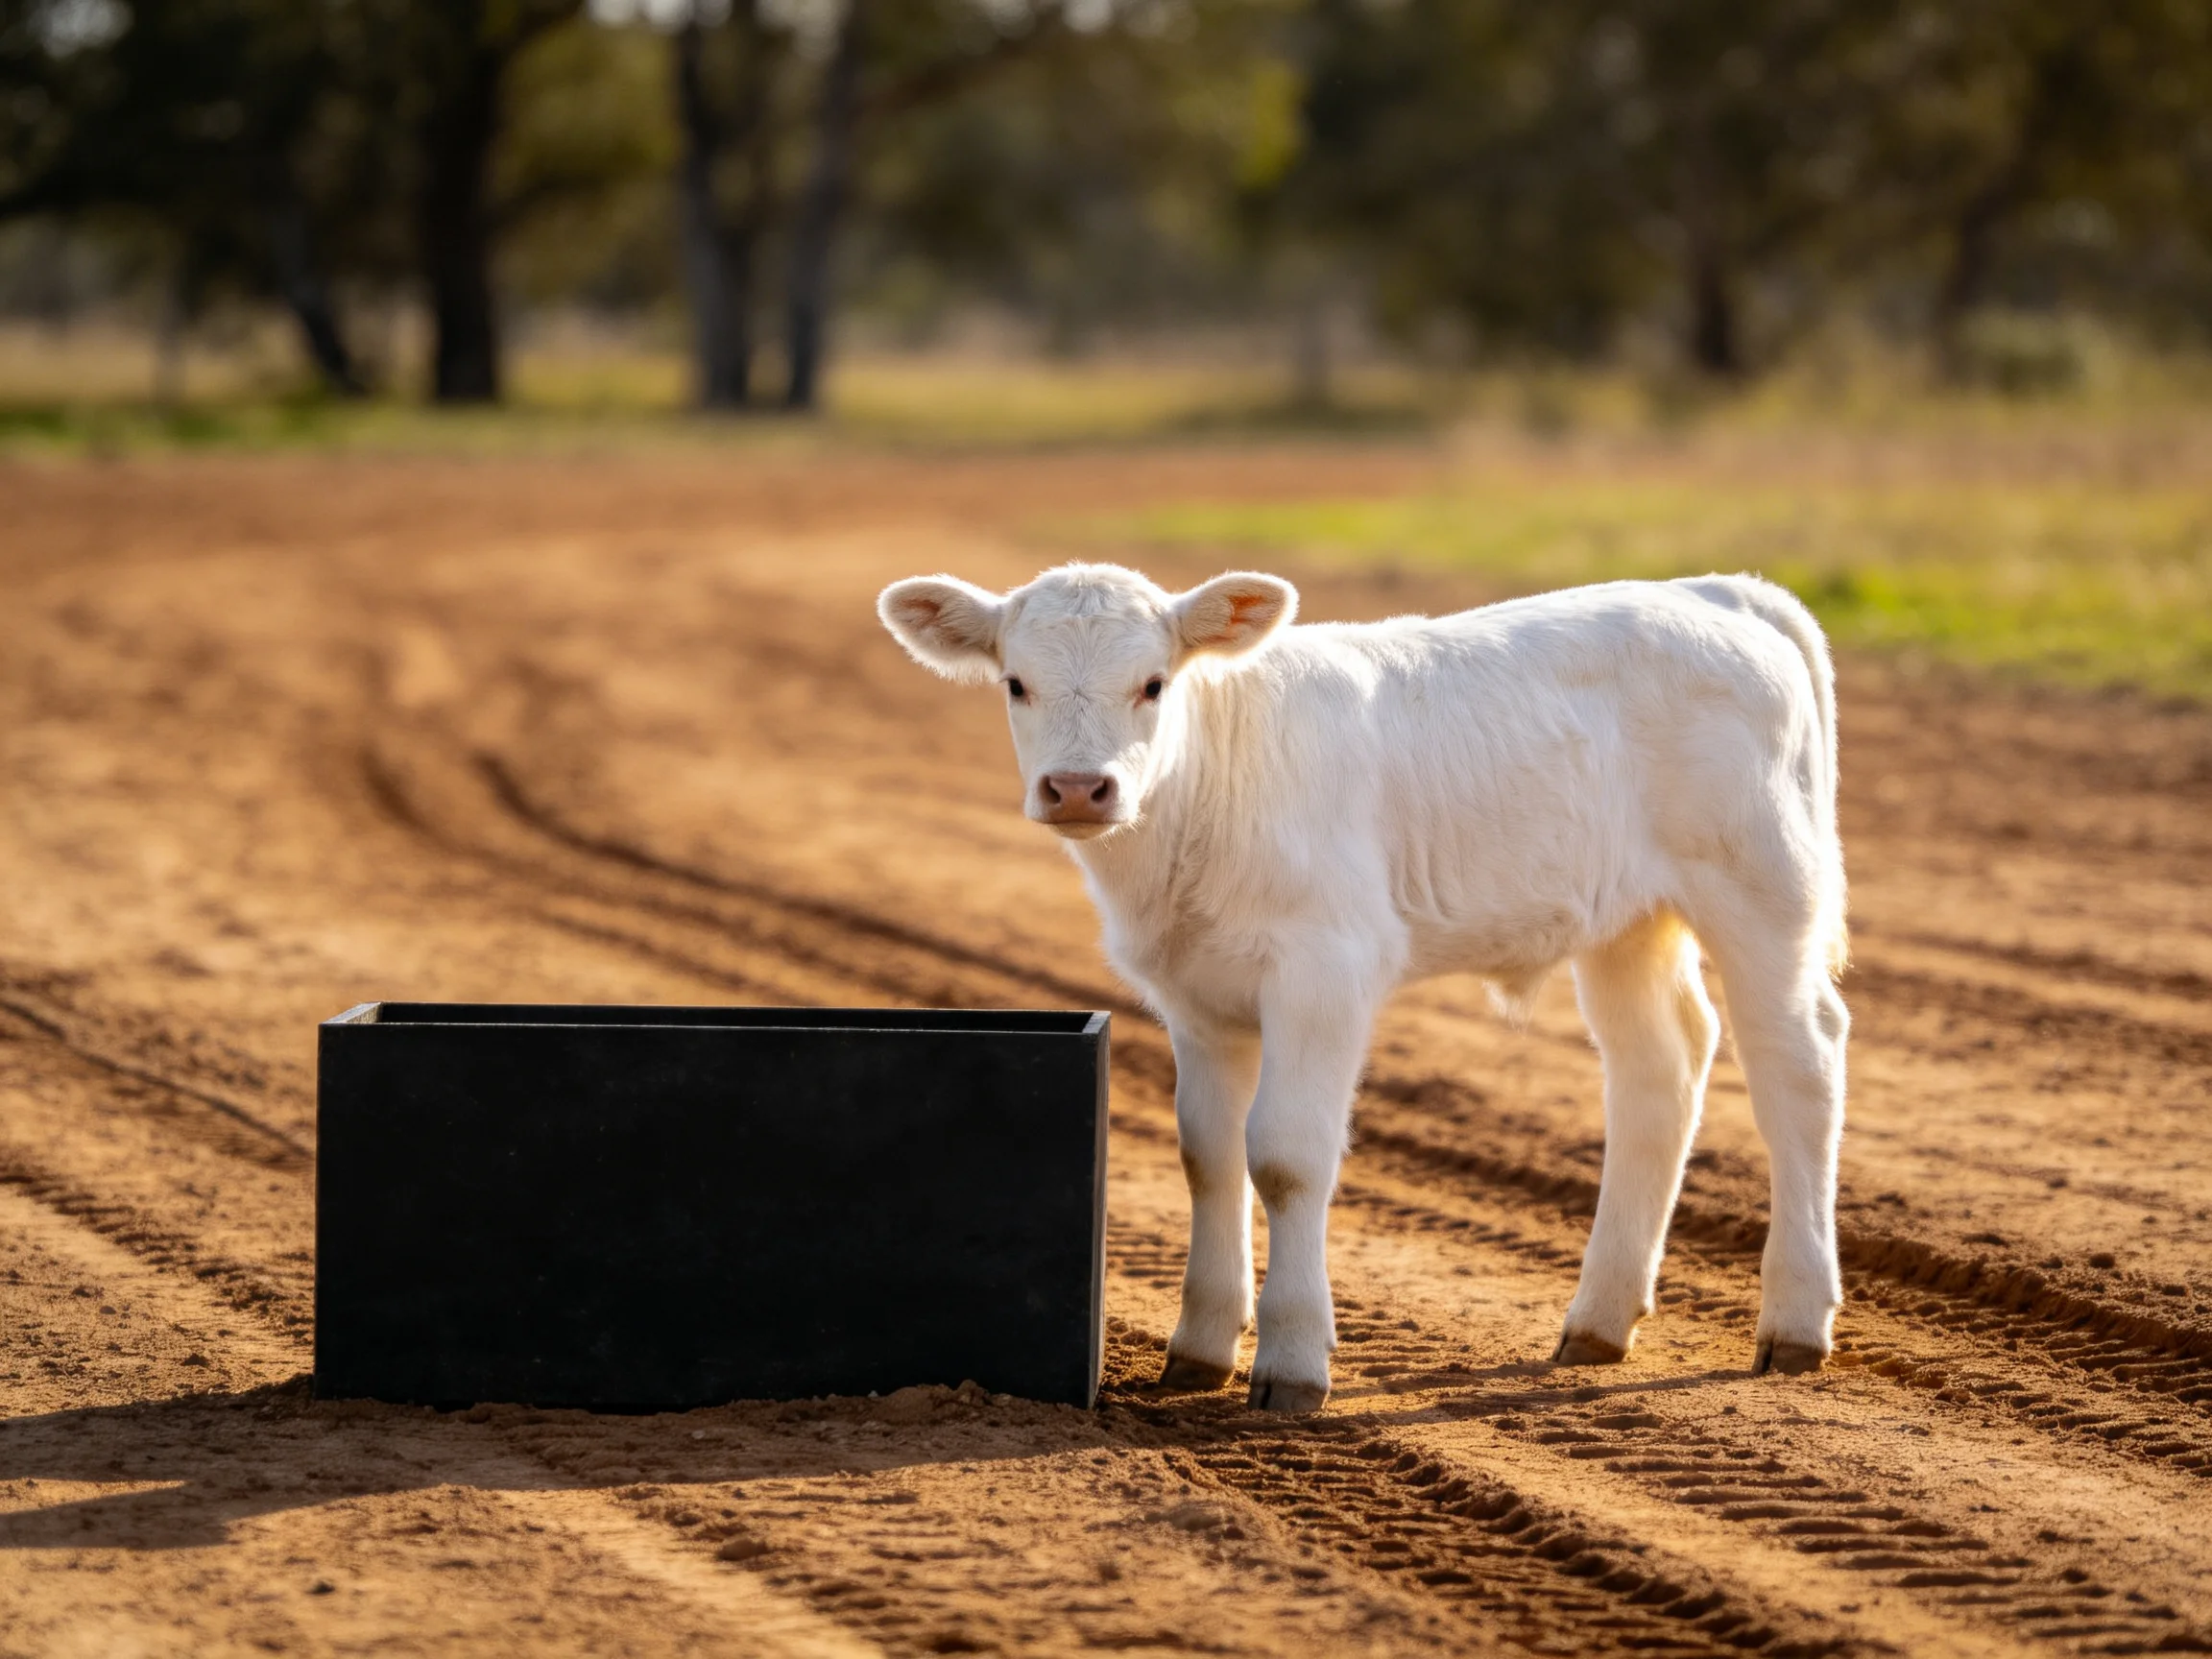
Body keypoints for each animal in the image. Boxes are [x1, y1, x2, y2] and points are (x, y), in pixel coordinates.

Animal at [878, 562, 1848, 1412]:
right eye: (1016, 684)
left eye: (1153, 684)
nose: (1080, 788)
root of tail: (1716, 590)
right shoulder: (1194, 997)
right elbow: (1206, 1155)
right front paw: (1198, 1350)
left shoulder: (1325, 972)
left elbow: (1285, 1158)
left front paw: (1292, 1361)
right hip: (1624, 922)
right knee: (1660, 1070)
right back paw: (1599, 1322)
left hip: (1762, 891)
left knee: (1798, 1068)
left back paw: (1796, 1319)